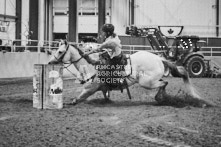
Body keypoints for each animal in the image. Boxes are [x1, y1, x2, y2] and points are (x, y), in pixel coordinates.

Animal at [48, 41, 204, 105]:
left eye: (60, 51)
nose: (50, 61)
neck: (92, 65)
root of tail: (159, 58)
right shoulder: (103, 88)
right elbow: (105, 95)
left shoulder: (89, 88)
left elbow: (78, 98)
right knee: (164, 83)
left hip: (146, 82)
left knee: (164, 83)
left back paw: (161, 98)